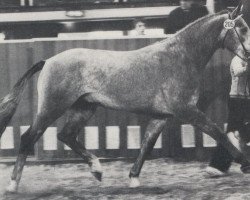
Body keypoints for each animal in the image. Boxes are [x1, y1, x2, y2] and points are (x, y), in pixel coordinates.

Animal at [1, 4, 250, 192]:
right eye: (242, 28)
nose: (248, 55)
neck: (180, 57)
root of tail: (49, 61)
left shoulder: (161, 116)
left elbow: (146, 145)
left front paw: (133, 178)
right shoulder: (187, 110)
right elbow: (218, 133)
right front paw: (245, 163)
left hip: (84, 107)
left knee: (66, 135)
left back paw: (97, 170)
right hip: (52, 107)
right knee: (29, 137)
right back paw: (13, 185)